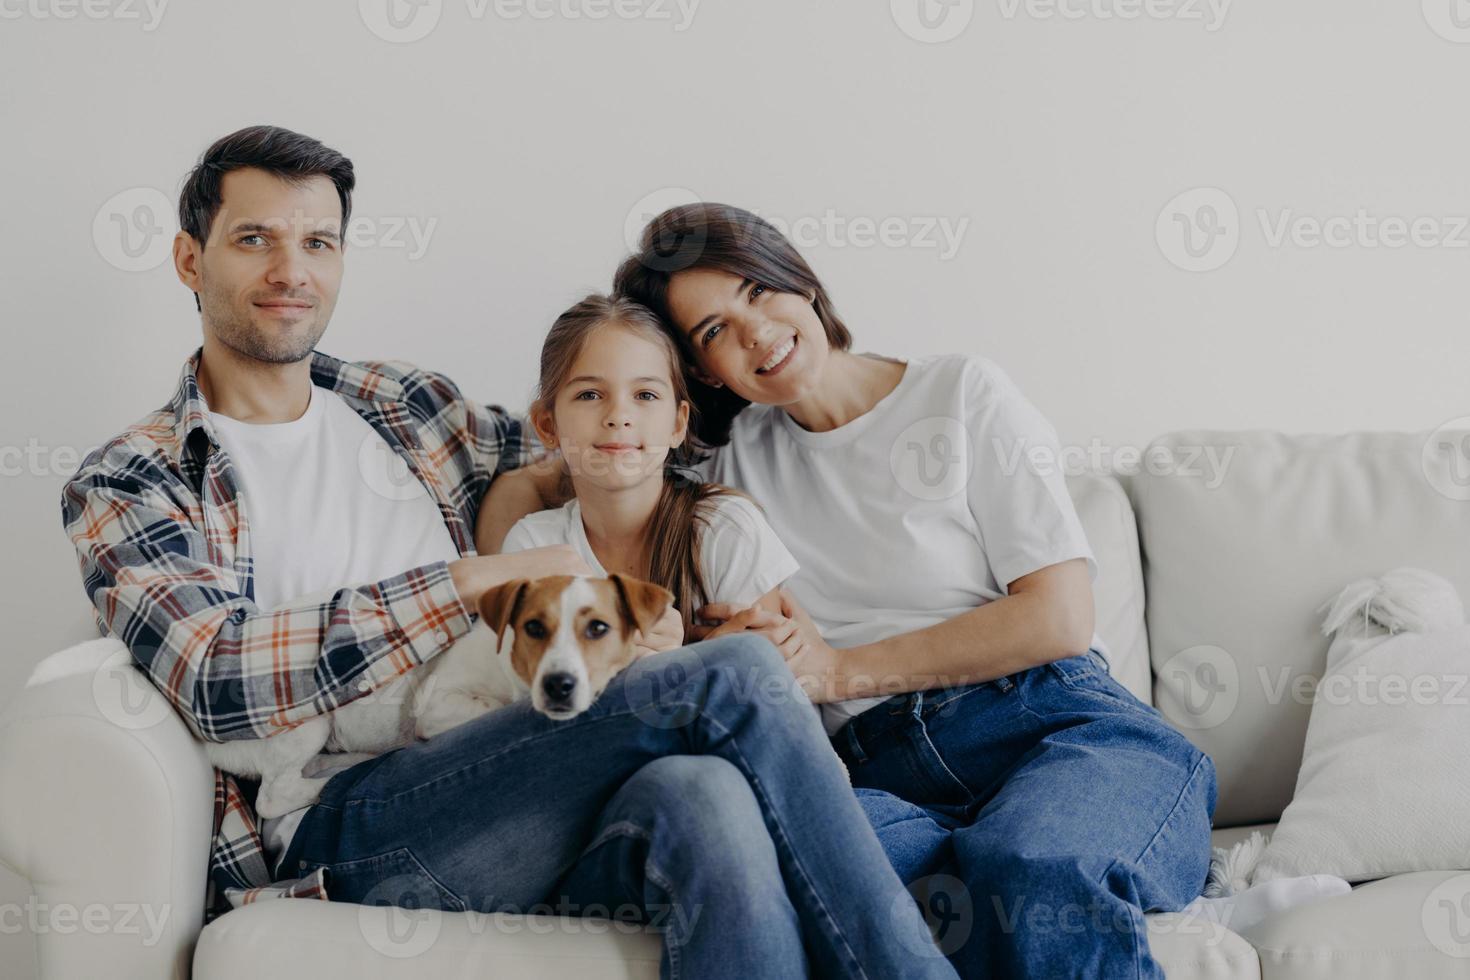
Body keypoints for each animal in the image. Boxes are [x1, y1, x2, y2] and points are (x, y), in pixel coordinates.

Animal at [205, 575, 673, 822]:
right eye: (534, 628)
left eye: (598, 629)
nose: (560, 685)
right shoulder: (438, 703)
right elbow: (491, 705)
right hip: (307, 716)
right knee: (275, 795)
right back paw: (329, 782)